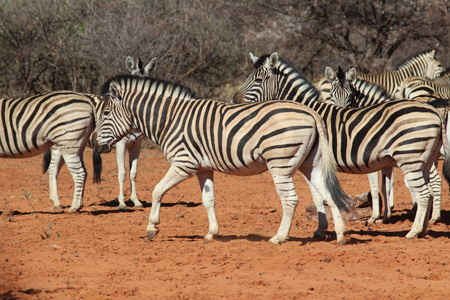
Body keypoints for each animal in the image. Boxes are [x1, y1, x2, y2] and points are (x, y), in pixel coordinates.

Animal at [43, 56, 156, 211]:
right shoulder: (121, 145)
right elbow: (122, 173)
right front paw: (122, 203)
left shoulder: (136, 145)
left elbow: (133, 173)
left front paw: (136, 201)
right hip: (59, 145)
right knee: (53, 169)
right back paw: (57, 203)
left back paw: (77, 202)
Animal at [90, 74, 352, 244]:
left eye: (106, 113)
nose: (93, 143)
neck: (170, 119)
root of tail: (311, 112)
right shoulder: (203, 168)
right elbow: (209, 200)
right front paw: (211, 234)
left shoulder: (183, 164)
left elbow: (157, 191)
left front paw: (151, 227)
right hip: (311, 164)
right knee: (328, 194)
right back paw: (340, 236)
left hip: (280, 163)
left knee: (290, 200)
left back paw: (279, 238)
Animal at [326, 66, 444, 225]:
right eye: (331, 95)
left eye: (350, 96)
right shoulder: (385, 161)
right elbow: (386, 186)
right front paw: (387, 214)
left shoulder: (369, 159)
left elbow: (376, 186)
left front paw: (375, 216)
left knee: (435, 181)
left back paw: (433, 217)